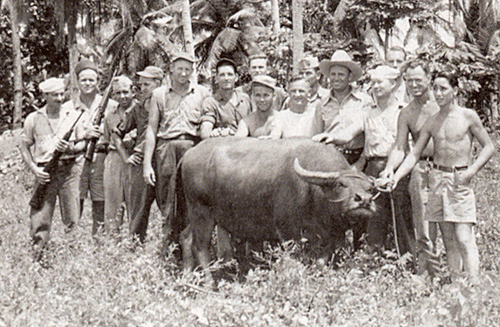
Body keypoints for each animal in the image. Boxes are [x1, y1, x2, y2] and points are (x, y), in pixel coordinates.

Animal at [167, 137, 376, 270]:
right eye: (341, 184)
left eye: (370, 189)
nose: (364, 200)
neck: (312, 192)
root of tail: (189, 154)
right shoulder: (288, 233)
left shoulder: (330, 239)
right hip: (201, 211)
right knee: (200, 246)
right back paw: (210, 285)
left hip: (197, 213)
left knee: (185, 237)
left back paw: (188, 278)